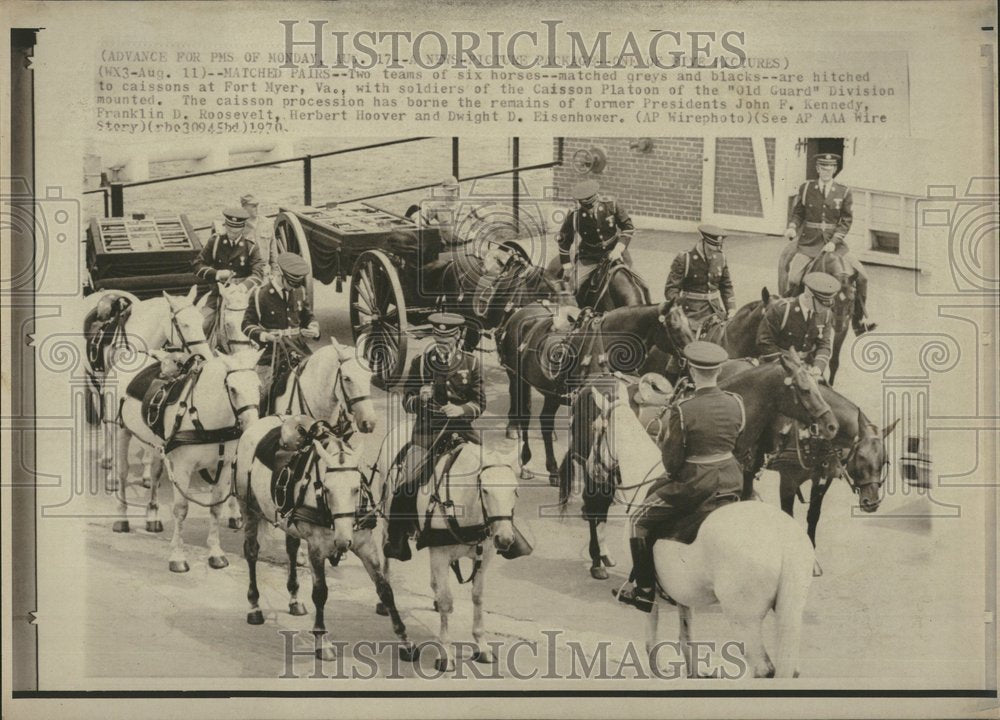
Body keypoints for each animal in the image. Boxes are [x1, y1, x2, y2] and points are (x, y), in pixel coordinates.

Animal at [111, 346, 264, 572]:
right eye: (233, 389)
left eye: (259, 387)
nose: (253, 428)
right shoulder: (183, 468)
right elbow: (181, 510)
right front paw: (177, 556)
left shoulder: (224, 467)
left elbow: (216, 508)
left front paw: (215, 553)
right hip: (122, 431)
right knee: (122, 473)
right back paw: (121, 519)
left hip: (156, 445)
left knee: (155, 475)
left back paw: (153, 517)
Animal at [372, 424, 520, 672]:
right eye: (486, 490)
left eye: (515, 490)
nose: (505, 539)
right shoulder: (440, 553)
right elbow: (446, 600)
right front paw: (446, 653)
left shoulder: (483, 555)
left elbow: (477, 596)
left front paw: (482, 646)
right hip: (387, 520)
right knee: (387, 556)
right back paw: (384, 598)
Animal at [496, 300, 692, 486]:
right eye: (674, 326)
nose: (691, 358)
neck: (605, 346)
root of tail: (518, 313)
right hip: (518, 380)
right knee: (525, 417)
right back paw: (526, 464)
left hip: (552, 393)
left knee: (545, 422)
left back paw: (552, 470)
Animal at [588, 380, 816, 676]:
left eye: (595, 428)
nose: (592, 471)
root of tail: (784, 542)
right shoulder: (683, 594)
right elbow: (687, 640)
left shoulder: (652, 590)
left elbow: (652, 639)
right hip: (790, 610)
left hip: (744, 620)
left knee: (763, 668)